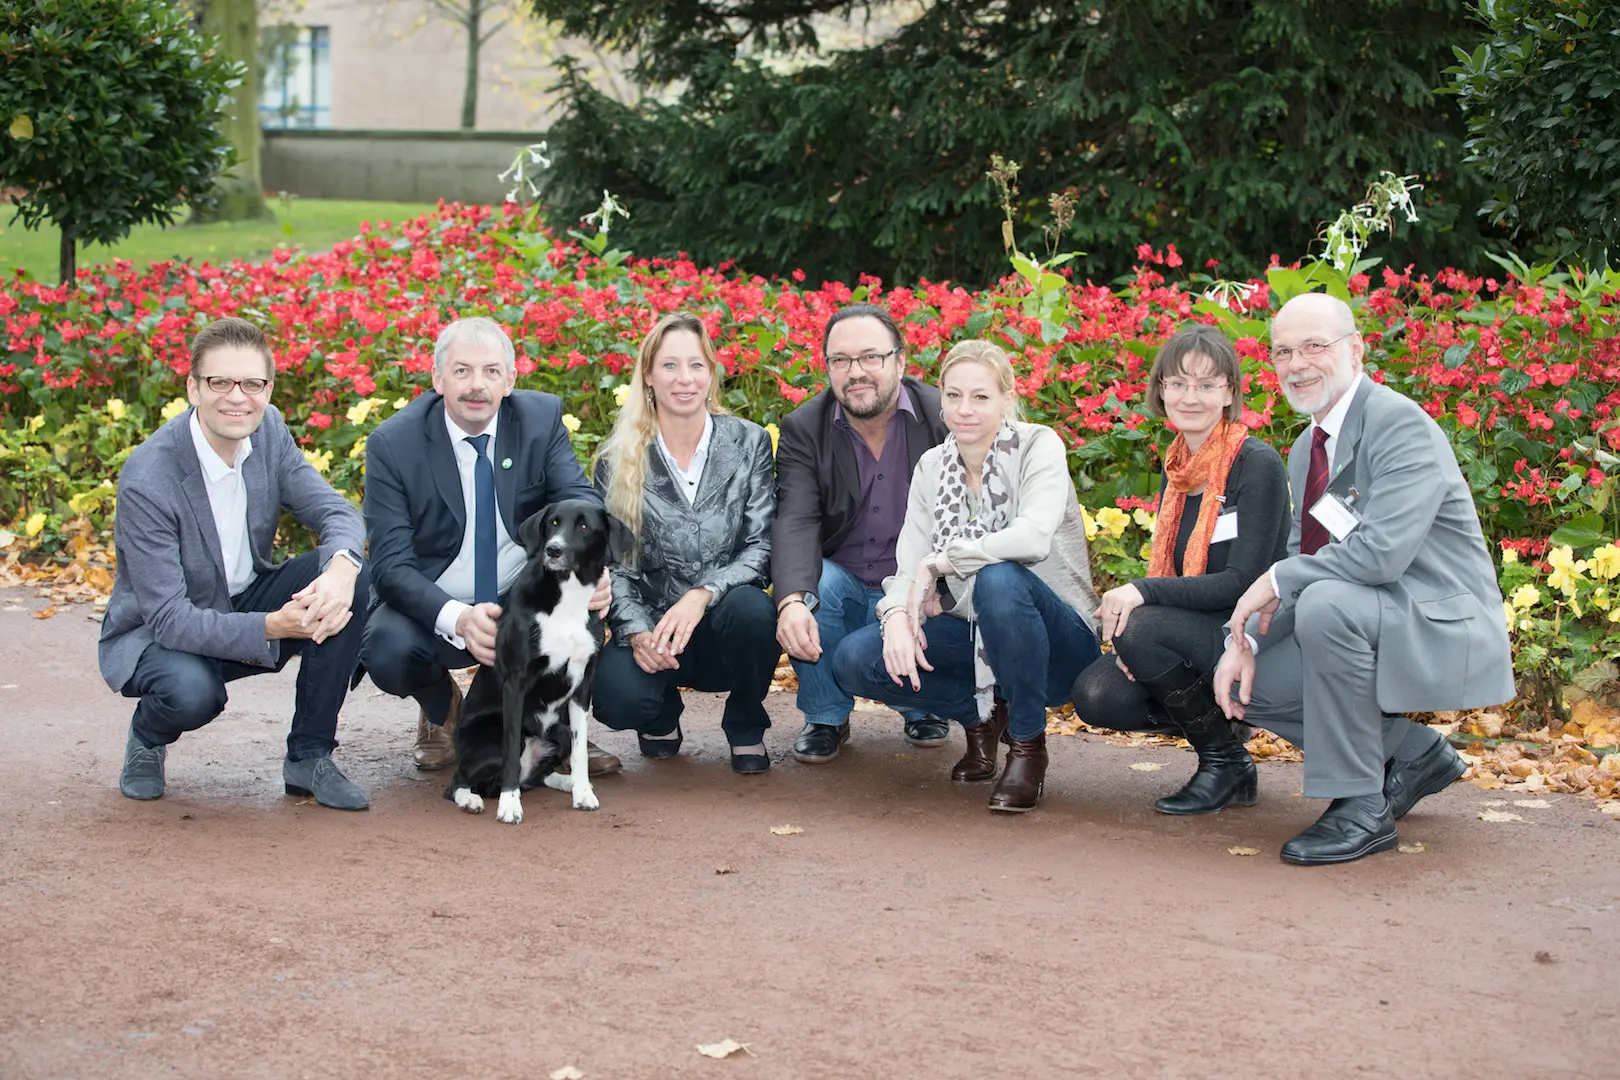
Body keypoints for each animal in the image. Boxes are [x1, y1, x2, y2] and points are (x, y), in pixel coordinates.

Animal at [445, 499, 633, 824]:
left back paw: (565, 782)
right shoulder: (516, 683)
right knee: (459, 781)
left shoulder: (583, 688)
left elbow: (580, 751)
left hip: (559, 731)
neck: (567, 598)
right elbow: (510, 753)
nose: (553, 550)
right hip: (490, 738)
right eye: (553, 523)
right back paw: (471, 799)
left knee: (538, 776)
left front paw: (582, 792)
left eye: (584, 526)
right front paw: (509, 805)